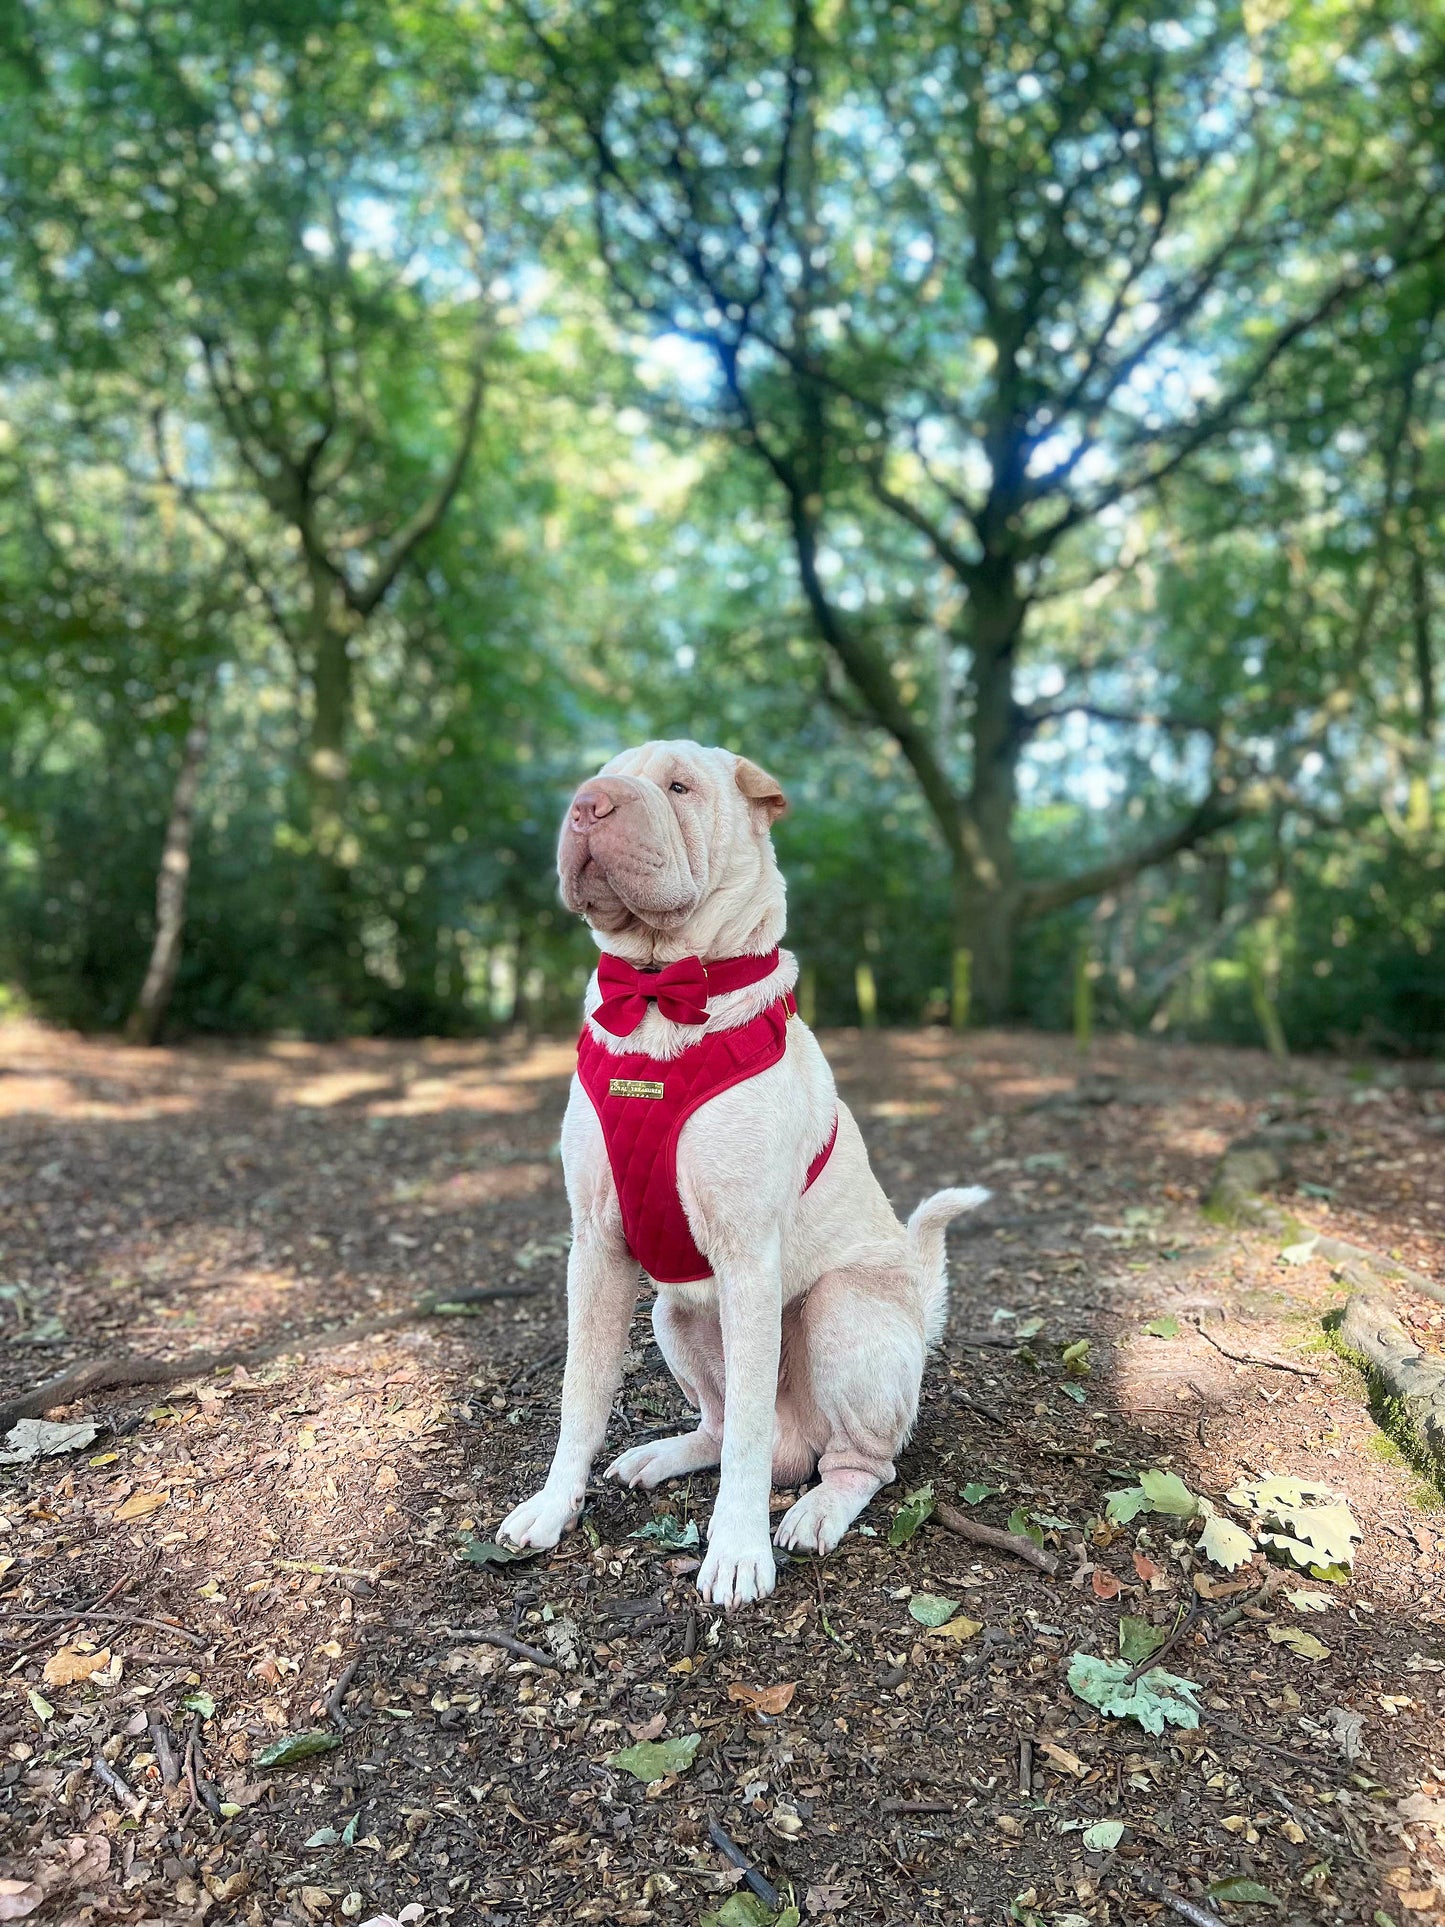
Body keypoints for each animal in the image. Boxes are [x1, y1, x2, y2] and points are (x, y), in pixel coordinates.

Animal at [504, 743, 994, 1603]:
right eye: (601, 773)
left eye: (678, 786)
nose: (587, 804)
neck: (660, 992)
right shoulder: (593, 1247)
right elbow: (580, 1395)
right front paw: (553, 1504)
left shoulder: (747, 1258)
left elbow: (747, 1445)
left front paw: (735, 1550)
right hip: (673, 1313)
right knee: (727, 1424)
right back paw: (666, 1453)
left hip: (840, 1309)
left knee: (853, 1461)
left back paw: (814, 1510)